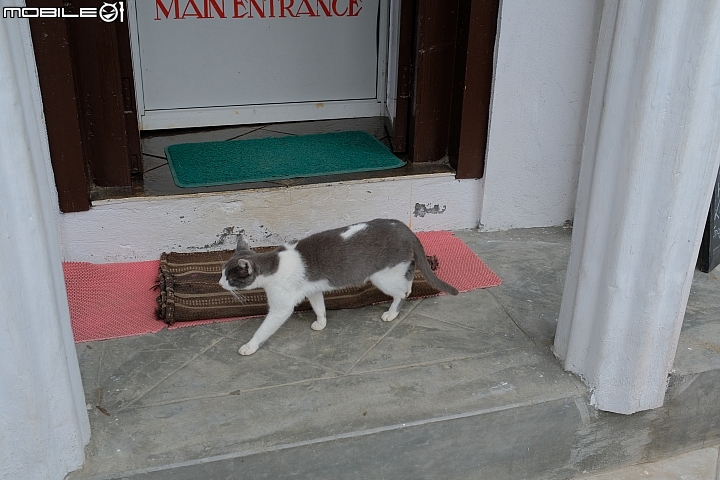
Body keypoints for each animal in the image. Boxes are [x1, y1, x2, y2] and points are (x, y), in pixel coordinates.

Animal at [217, 219, 458, 354]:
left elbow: (265, 328)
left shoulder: (281, 306)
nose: (219, 283)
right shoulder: (313, 289)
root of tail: (405, 229)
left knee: (402, 293)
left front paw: (250, 346)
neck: (272, 265)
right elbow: (319, 307)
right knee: (408, 276)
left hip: (382, 276)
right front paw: (321, 322)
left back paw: (391, 312)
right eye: (221, 273)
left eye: (230, 278)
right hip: (395, 269)